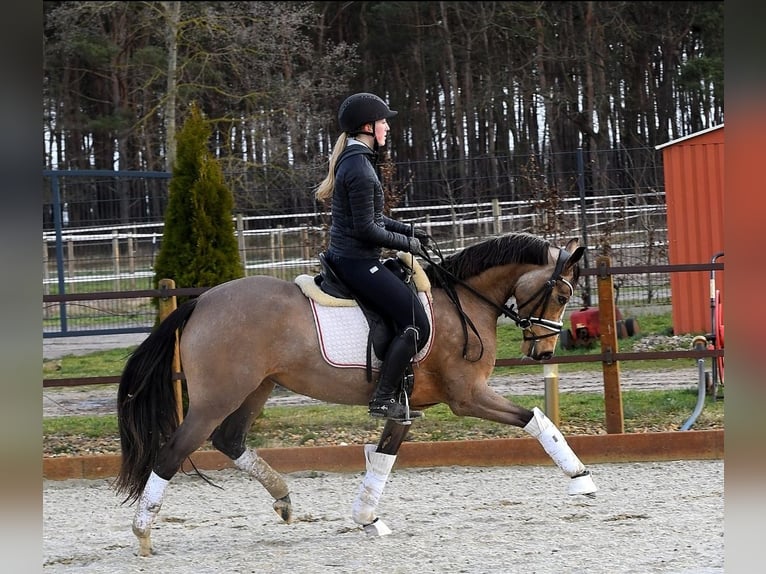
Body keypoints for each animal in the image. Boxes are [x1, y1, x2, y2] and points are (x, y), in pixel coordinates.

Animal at [115, 231, 600, 560]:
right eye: (563, 293)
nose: (544, 352)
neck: (461, 302)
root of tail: (199, 302)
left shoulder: (405, 407)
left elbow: (384, 457)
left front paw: (368, 518)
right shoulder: (468, 396)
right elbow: (535, 418)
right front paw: (581, 477)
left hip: (256, 389)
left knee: (230, 441)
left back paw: (283, 499)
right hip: (218, 397)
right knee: (173, 451)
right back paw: (143, 534)